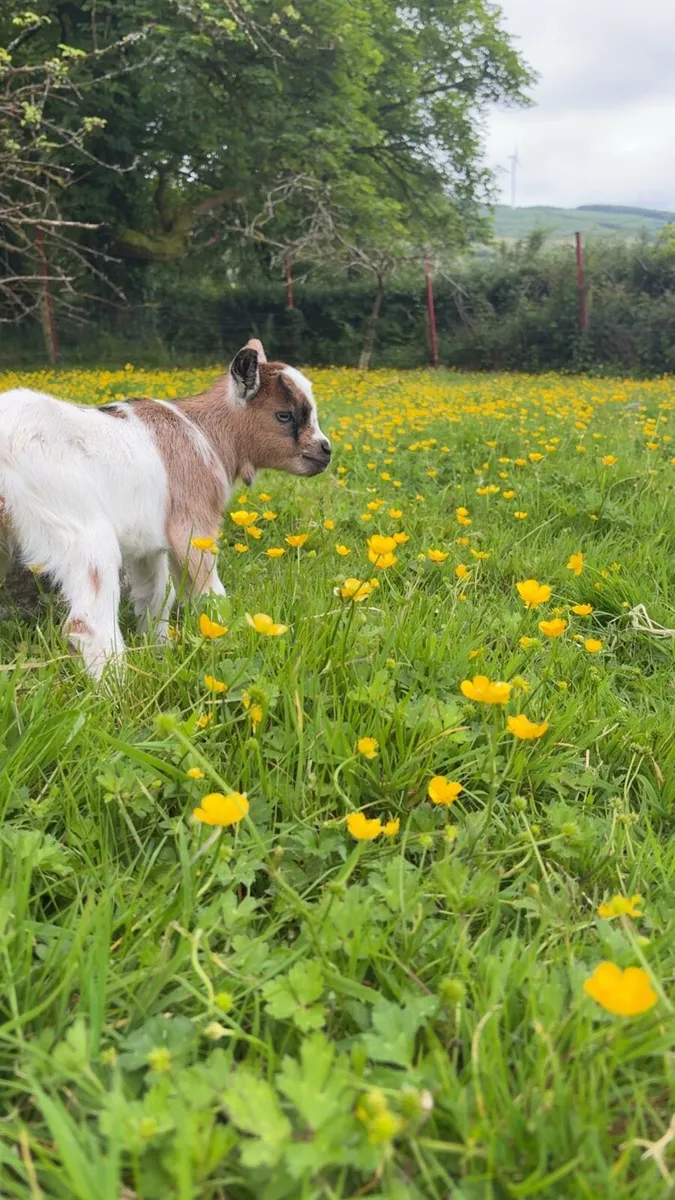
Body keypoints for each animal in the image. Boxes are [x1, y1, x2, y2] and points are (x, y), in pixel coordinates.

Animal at [0, 340, 331, 678]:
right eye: (284, 415)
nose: (326, 450)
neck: (204, 434)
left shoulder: (149, 546)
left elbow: (156, 595)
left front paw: (160, 649)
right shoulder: (192, 525)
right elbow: (211, 593)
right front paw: (225, 637)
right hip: (77, 523)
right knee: (88, 623)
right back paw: (119, 685)